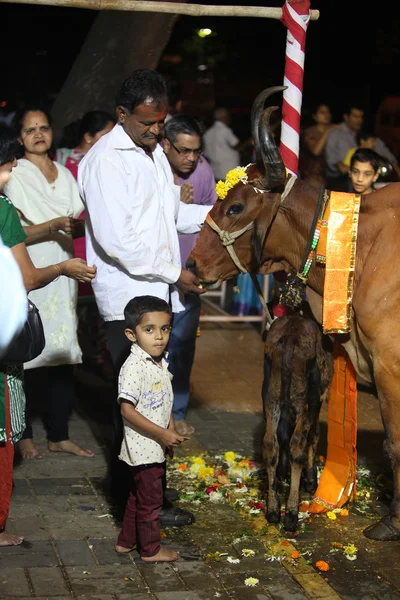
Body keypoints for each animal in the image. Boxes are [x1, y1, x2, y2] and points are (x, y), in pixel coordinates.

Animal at [260, 312, 332, 532]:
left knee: (270, 444)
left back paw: (273, 509)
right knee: (298, 445)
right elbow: (314, 437)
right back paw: (291, 514)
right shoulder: (316, 403)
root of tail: (291, 333)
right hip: (303, 402)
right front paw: (310, 480)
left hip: (271, 398)